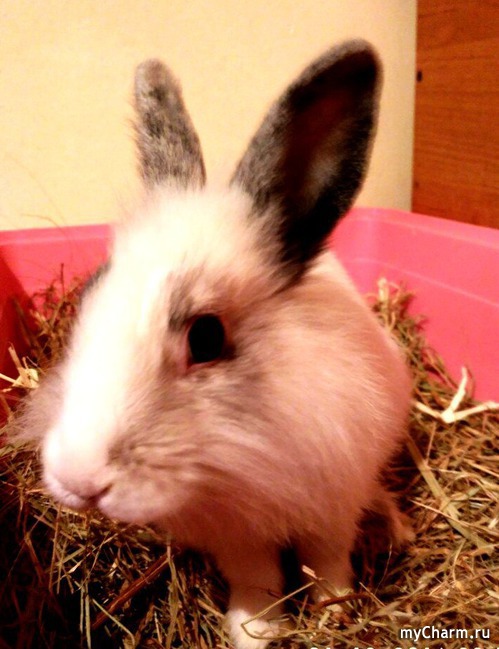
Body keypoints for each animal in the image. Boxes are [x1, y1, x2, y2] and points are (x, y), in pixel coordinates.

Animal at [20, 40, 413, 649]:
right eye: (88, 294)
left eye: (206, 335)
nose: (78, 478)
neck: (242, 461)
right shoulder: (235, 535)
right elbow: (257, 579)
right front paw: (255, 630)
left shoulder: (332, 506)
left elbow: (327, 563)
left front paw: (334, 613)